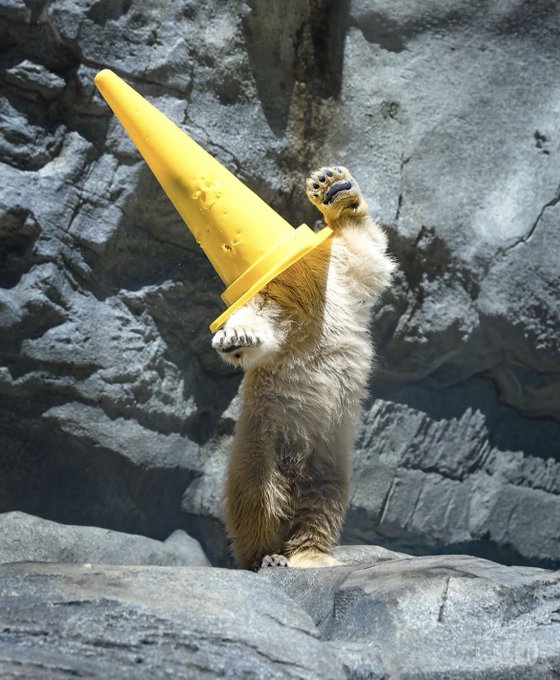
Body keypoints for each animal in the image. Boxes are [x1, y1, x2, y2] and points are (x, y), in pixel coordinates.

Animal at [212, 166, 395, 570]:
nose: (332, 184)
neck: (298, 281)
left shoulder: (336, 274)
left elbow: (368, 256)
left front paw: (334, 188)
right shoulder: (277, 305)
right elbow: (259, 322)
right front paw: (235, 336)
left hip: (330, 453)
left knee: (323, 499)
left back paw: (311, 555)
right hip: (261, 440)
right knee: (257, 497)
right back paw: (266, 556)